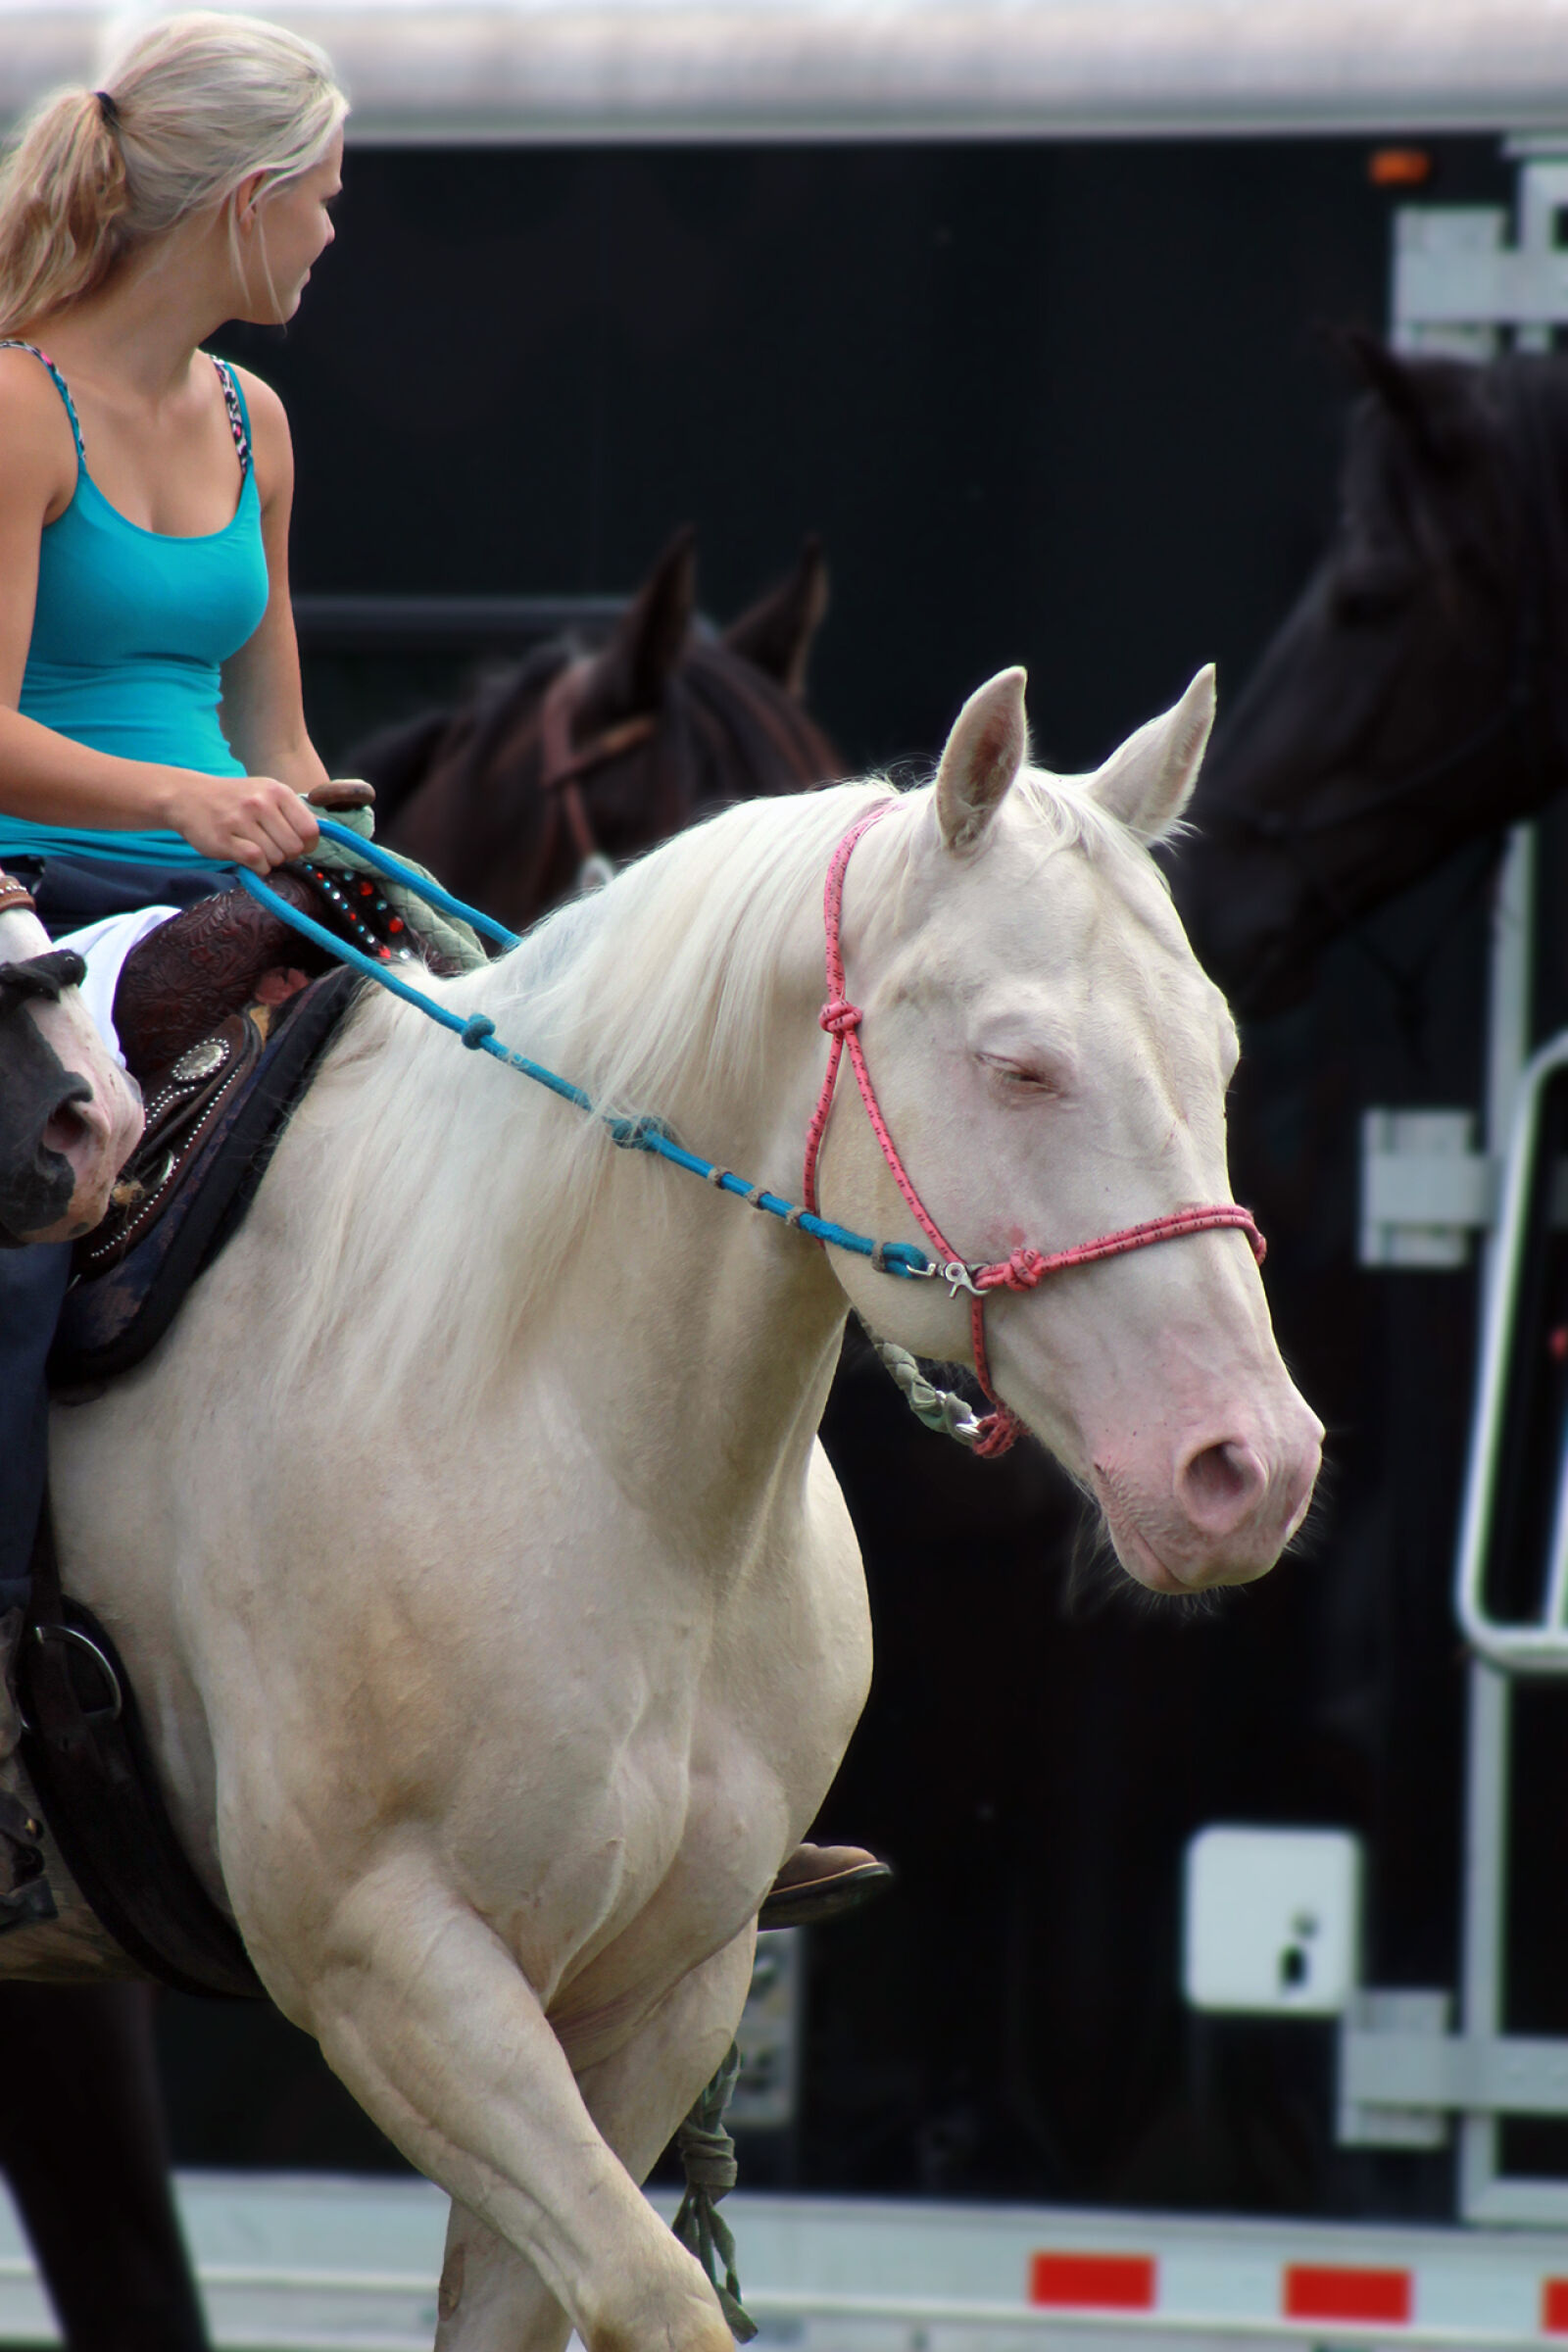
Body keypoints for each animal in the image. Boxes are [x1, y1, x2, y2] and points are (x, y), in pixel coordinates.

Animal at [23, 668, 1319, 2352]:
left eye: (1216, 1054)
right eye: (1020, 1064)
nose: (1250, 1465)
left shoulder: (663, 1992)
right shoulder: (394, 1969)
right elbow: (657, 2293)